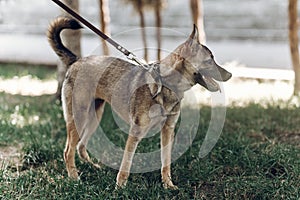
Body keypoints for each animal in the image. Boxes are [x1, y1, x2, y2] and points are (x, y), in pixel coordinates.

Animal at [48, 16, 233, 189]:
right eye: (209, 60)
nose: (230, 74)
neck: (166, 84)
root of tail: (76, 60)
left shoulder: (168, 130)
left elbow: (165, 162)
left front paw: (168, 184)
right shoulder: (135, 132)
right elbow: (126, 163)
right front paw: (120, 187)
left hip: (94, 117)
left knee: (80, 146)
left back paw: (92, 166)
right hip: (79, 117)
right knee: (68, 151)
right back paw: (74, 177)